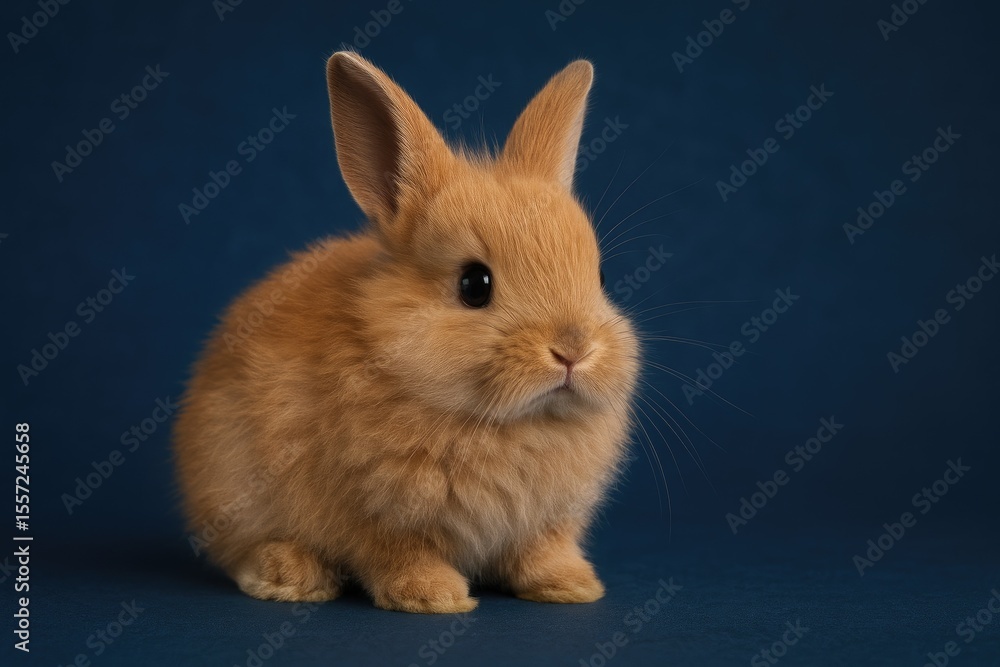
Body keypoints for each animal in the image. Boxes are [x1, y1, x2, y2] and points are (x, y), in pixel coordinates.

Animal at [173, 50, 639, 614]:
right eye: (474, 284)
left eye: (601, 277)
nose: (573, 350)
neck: (508, 423)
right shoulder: (375, 516)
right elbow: (398, 553)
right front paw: (435, 597)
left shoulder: (545, 524)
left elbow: (541, 551)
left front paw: (572, 587)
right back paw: (290, 577)